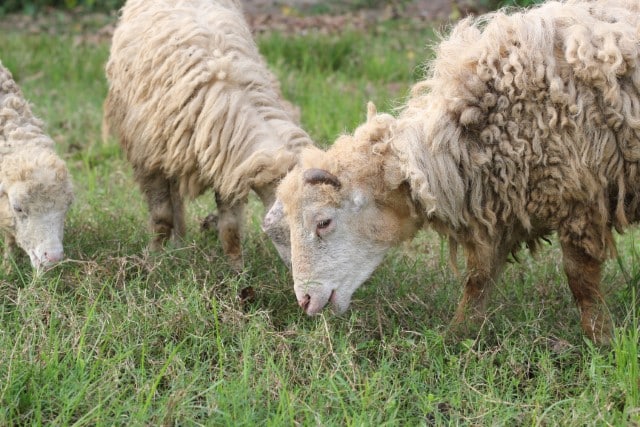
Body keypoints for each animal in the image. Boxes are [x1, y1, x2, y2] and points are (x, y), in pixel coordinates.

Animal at [102, 0, 312, 270]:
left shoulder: (229, 164)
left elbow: (230, 227)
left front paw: (237, 269)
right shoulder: (149, 160)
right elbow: (161, 217)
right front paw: (154, 259)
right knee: (173, 201)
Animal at [268, 0, 640, 342]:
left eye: (323, 222)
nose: (305, 300)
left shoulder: (580, 199)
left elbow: (580, 279)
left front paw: (600, 339)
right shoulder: (498, 210)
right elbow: (479, 277)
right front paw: (457, 335)